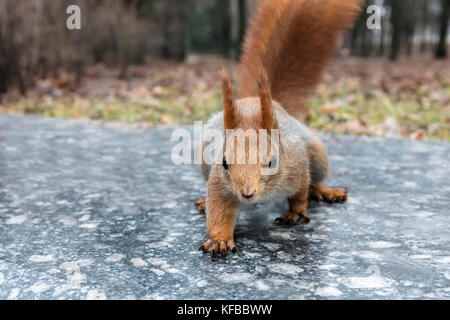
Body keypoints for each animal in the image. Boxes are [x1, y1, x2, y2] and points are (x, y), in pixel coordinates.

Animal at [194, 0, 362, 255]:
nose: (247, 193)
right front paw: (219, 239)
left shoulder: (297, 168)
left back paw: (325, 191)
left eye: (272, 161)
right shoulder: (219, 183)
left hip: (317, 156)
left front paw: (295, 213)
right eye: (224, 162)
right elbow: (219, 212)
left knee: (315, 180)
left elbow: (300, 192)